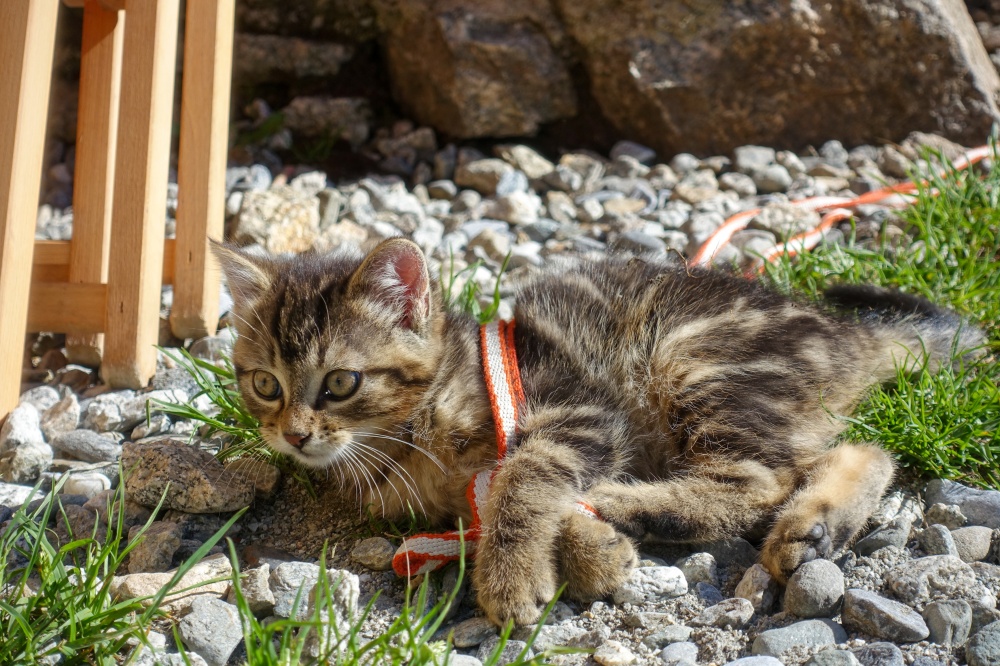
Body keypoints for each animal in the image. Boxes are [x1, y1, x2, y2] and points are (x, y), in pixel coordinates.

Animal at [213, 240, 984, 628]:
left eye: (341, 382)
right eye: (265, 385)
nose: (294, 435)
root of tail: (845, 334)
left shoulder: (577, 412)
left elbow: (525, 479)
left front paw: (517, 576)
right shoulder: (461, 499)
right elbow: (500, 502)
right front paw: (591, 552)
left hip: (693, 360)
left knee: (757, 477)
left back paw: (632, 504)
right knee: (863, 450)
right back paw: (813, 528)